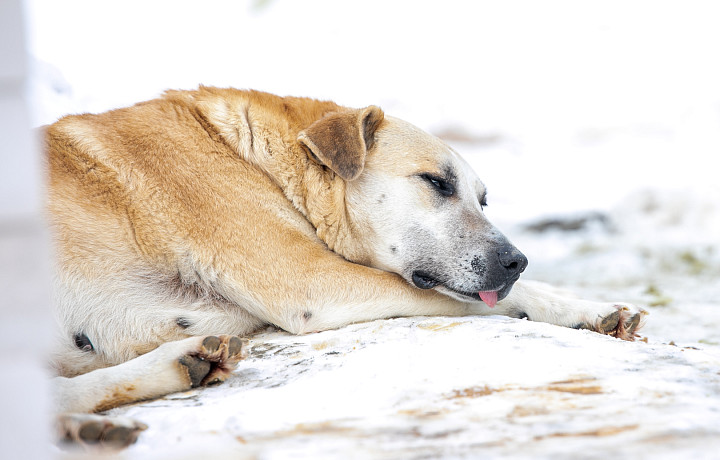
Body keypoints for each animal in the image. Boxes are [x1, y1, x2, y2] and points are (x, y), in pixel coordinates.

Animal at [45, 88, 648, 448]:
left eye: (482, 200)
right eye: (437, 182)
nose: (516, 261)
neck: (258, 159)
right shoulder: (313, 282)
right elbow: (474, 300)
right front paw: (580, 307)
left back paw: (157, 380)